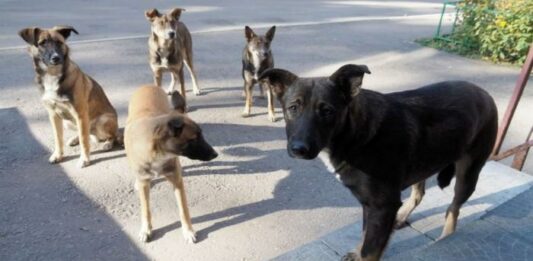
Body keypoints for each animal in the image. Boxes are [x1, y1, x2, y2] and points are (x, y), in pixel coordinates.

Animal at [18, 25, 119, 168]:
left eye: (59, 42)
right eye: (42, 43)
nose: (56, 58)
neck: (52, 75)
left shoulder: (80, 114)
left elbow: (84, 140)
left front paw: (84, 159)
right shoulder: (53, 115)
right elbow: (58, 138)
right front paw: (58, 155)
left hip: (102, 121)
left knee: (110, 135)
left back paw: (107, 143)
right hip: (67, 122)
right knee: (85, 133)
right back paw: (74, 139)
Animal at [123, 85, 217, 242]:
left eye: (202, 135)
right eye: (194, 139)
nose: (215, 154)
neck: (157, 153)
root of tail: (148, 85)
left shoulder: (177, 181)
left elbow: (183, 209)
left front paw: (188, 231)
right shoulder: (144, 183)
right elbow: (145, 209)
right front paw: (146, 229)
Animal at [260, 63, 496, 260]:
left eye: (327, 111)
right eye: (293, 108)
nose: (299, 149)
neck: (354, 134)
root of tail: (484, 93)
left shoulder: (381, 206)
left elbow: (370, 251)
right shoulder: (370, 205)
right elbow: (365, 236)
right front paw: (357, 252)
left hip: (468, 174)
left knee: (453, 208)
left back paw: (446, 237)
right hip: (423, 162)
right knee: (419, 193)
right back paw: (402, 217)